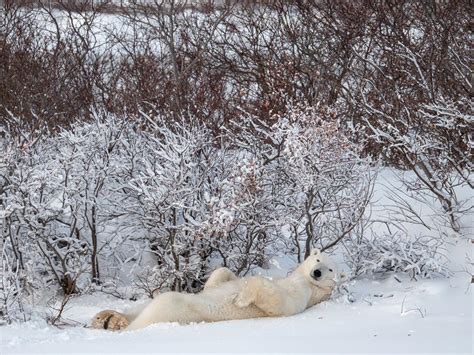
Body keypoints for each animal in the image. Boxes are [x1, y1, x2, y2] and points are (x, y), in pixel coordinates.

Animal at [90, 249, 340, 332]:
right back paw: (107, 317)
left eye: (331, 269)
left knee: (158, 306)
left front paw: (240, 299)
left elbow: (279, 302)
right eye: (317, 259)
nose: (317, 272)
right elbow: (223, 275)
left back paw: (117, 324)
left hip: (175, 308)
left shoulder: (303, 292)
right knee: (139, 307)